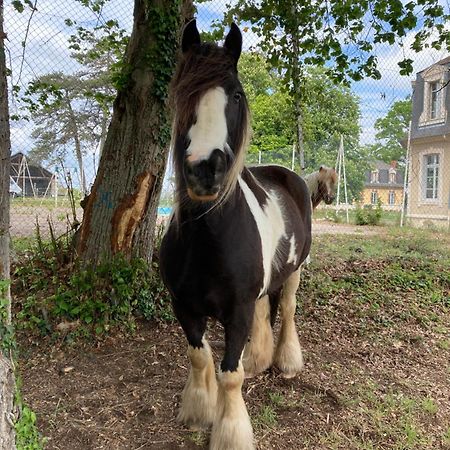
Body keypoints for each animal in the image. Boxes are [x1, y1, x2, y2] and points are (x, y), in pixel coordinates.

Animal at [160, 21, 312, 450]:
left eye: (238, 94)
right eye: (182, 90)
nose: (204, 169)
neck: (209, 240)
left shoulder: (237, 311)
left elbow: (230, 374)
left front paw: (230, 433)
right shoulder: (184, 306)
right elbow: (199, 357)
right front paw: (199, 412)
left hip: (296, 269)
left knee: (288, 309)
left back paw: (286, 362)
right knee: (266, 310)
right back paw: (260, 358)